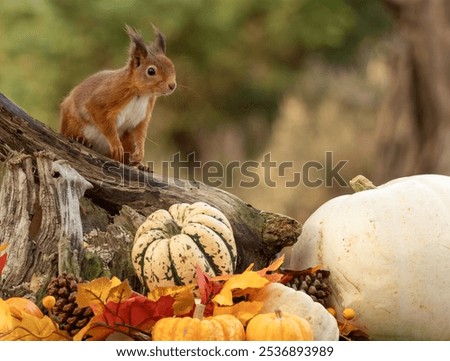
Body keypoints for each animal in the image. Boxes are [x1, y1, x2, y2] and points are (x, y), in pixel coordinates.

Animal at [61, 23, 176, 167]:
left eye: (172, 66)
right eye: (151, 71)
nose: (172, 85)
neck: (141, 94)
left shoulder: (144, 115)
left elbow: (141, 133)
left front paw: (140, 153)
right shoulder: (108, 94)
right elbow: (102, 118)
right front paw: (116, 145)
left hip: (127, 140)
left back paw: (141, 165)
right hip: (72, 122)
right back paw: (80, 139)